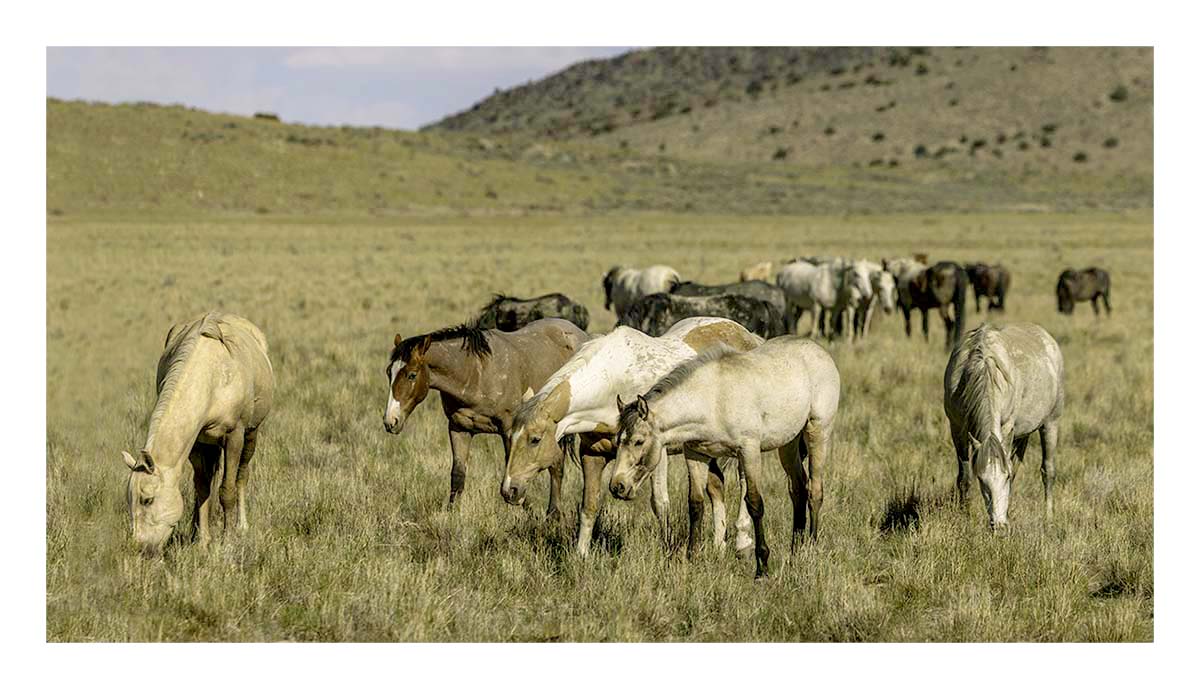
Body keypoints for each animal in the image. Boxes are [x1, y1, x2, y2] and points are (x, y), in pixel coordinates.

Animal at [120, 312, 274, 557]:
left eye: (147, 500)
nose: (143, 549)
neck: (213, 378)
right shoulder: (198, 443)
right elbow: (202, 488)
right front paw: (202, 541)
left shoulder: (234, 436)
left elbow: (227, 490)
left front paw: (227, 542)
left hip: (252, 435)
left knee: (242, 474)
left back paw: (241, 526)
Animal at [383, 318, 590, 515]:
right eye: (388, 372)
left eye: (411, 375)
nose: (390, 421)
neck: (476, 373)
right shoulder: (458, 428)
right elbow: (458, 474)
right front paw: (452, 514)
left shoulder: (510, 430)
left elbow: (513, 466)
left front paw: (528, 509)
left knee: (557, 466)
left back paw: (553, 513)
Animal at [501, 317, 764, 556]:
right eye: (510, 437)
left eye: (535, 439)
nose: (509, 490)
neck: (613, 383)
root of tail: (749, 337)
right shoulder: (591, 455)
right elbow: (589, 506)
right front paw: (581, 556)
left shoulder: (658, 454)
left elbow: (660, 503)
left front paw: (667, 551)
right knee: (717, 487)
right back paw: (719, 546)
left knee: (742, 483)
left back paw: (742, 543)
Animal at [609, 336, 841, 578]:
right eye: (617, 440)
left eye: (638, 441)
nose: (617, 486)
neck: (713, 398)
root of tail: (819, 351)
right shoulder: (696, 454)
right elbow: (695, 504)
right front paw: (692, 558)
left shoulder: (749, 451)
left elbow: (755, 504)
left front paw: (762, 568)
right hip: (788, 444)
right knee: (798, 489)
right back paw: (796, 549)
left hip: (817, 432)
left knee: (814, 491)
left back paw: (810, 548)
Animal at [944, 323, 1064, 531]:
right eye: (982, 480)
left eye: (1004, 478)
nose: (999, 526)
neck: (981, 369)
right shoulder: (956, 428)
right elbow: (964, 477)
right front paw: (964, 517)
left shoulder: (1007, 427)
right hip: (1022, 434)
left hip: (1050, 423)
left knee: (1047, 471)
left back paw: (1048, 518)